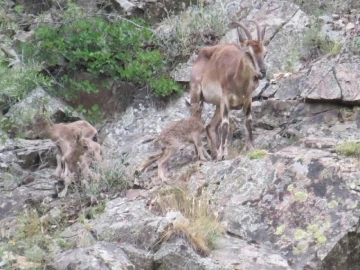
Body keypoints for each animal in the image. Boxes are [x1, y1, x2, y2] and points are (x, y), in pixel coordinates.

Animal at [190, 21, 268, 160]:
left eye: (265, 53)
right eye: (248, 53)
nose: (262, 72)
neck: (238, 82)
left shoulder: (247, 99)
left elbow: (248, 121)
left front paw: (252, 149)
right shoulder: (225, 99)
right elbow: (225, 124)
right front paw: (223, 154)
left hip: (217, 105)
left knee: (210, 127)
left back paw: (214, 153)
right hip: (196, 96)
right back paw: (203, 156)